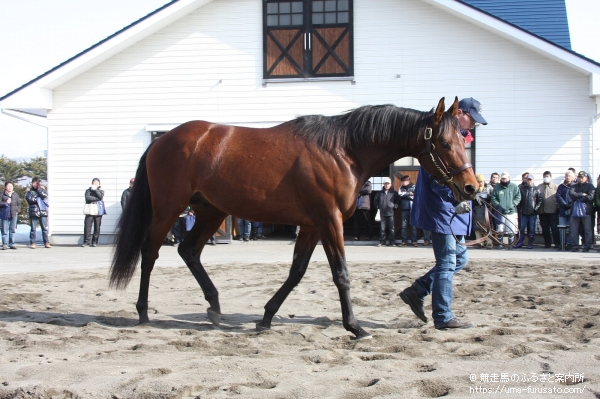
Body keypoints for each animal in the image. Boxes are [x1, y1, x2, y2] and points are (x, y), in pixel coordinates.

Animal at [110, 95, 476, 340]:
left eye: (463, 140)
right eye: (445, 143)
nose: (472, 187)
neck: (343, 150)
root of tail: (162, 141)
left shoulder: (313, 225)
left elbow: (296, 272)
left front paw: (266, 317)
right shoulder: (329, 220)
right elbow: (341, 274)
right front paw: (355, 326)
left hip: (211, 211)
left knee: (189, 251)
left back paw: (214, 307)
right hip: (168, 209)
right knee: (150, 253)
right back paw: (143, 312)